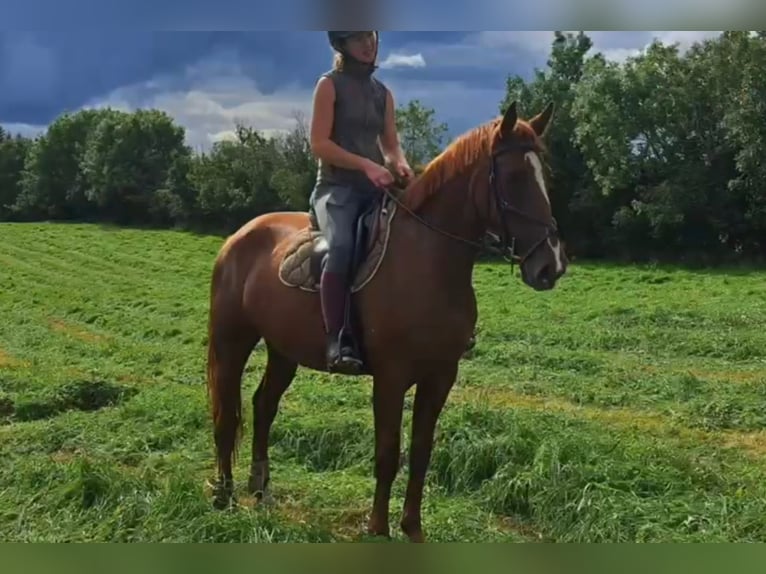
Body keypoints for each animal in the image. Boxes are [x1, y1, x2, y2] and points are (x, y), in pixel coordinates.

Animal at [207, 101, 568, 548]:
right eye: (515, 177)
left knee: (263, 406)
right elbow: (387, 452)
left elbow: (421, 453)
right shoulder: (391, 377)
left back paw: (260, 489)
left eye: (545, 176)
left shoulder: (439, 377)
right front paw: (378, 529)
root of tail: (239, 236)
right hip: (232, 341)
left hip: (283, 351)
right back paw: (223, 495)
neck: (427, 260)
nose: (552, 265)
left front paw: (413, 528)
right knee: (227, 413)